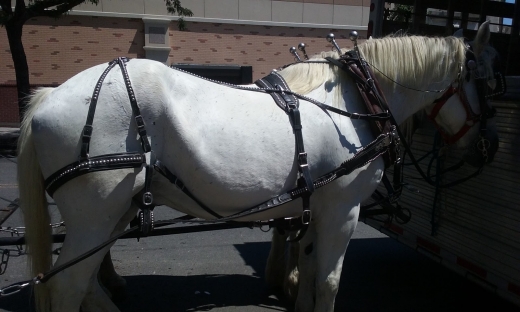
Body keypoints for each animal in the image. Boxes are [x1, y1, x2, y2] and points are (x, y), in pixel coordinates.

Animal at [18, 22, 500, 312]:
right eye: (486, 81)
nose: (488, 148)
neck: (357, 100)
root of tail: (48, 97)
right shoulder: (343, 209)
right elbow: (328, 281)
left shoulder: (315, 207)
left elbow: (308, 270)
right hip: (95, 217)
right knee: (67, 287)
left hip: (115, 213)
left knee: (86, 285)